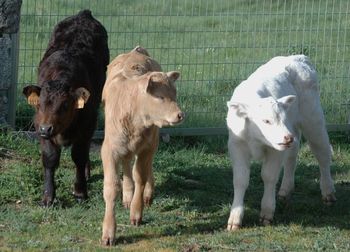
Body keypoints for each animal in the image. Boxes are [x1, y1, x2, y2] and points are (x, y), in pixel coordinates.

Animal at [100, 46, 185, 245]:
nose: (180, 115)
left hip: (152, 142)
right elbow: (111, 187)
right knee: (127, 162)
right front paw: (108, 231)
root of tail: (136, 50)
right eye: (160, 96)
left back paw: (146, 194)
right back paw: (127, 195)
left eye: (174, 94)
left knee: (146, 167)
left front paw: (136, 213)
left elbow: (141, 176)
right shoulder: (109, 150)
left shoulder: (147, 147)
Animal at [227, 54, 336, 230]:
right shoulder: (237, 146)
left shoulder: (275, 150)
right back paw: (286, 189)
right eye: (266, 120)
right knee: (292, 155)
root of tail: (298, 57)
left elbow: (269, 176)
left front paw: (267, 212)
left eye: (283, 118)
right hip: (296, 130)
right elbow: (240, 180)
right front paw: (235, 218)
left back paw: (328, 191)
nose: (287, 137)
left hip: (313, 121)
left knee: (322, 154)